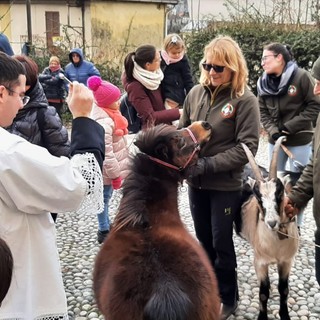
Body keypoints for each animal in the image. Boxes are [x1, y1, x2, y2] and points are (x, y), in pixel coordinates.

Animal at [240, 138, 300, 320]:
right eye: (258, 196)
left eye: (279, 193)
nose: (272, 222)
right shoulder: (260, 262)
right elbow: (263, 293)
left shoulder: (287, 261)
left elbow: (284, 289)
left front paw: (285, 315)